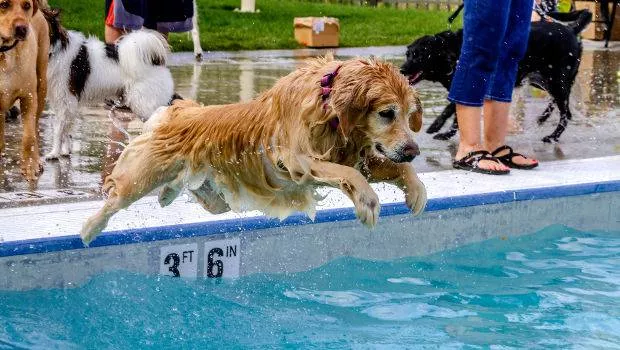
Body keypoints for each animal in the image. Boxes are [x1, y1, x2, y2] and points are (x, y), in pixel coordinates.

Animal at [0, 0, 48, 180]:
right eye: (3, 4)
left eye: (26, 5)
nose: (22, 28)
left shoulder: (28, 97)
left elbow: (29, 137)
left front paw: (30, 165)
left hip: (42, 83)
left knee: (35, 128)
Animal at [44, 9, 176, 160]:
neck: (56, 48)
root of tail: (155, 61)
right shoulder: (63, 101)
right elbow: (66, 129)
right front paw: (65, 151)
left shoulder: (66, 98)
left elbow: (58, 130)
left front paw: (54, 153)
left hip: (144, 103)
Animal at [82, 56, 428, 243]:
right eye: (387, 113)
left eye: (409, 113)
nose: (414, 150)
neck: (328, 101)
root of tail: (177, 111)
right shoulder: (297, 160)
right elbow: (348, 174)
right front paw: (368, 201)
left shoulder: (359, 156)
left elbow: (396, 168)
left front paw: (416, 192)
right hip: (142, 175)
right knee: (116, 199)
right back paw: (90, 227)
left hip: (214, 198)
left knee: (193, 193)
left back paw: (168, 195)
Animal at [402, 15, 592, 143]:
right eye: (408, 54)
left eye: (420, 56)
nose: (402, 70)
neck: (454, 51)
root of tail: (571, 29)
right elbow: (456, 114)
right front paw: (447, 133)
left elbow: (450, 109)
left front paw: (436, 126)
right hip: (542, 80)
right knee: (558, 103)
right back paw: (542, 118)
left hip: (556, 81)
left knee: (566, 113)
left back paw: (552, 136)